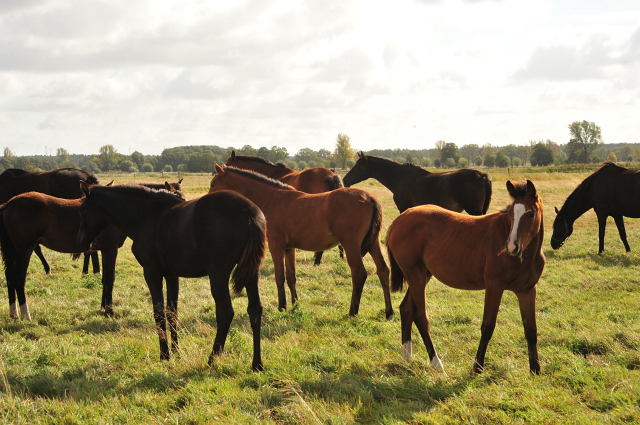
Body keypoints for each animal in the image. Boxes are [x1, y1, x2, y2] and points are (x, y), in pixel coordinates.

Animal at [78, 182, 268, 368]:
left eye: (82, 209)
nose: (82, 242)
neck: (146, 215)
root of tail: (249, 211)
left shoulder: (152, 273)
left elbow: (158, 312)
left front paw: (165, 355)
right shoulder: (171, 275)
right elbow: (172, 312)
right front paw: (176, 350)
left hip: (218, 274)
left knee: (225, 312)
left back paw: (212, 359)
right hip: (251, 273)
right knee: (254, 309)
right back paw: (256, 364)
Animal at [210, 164, 392, 320]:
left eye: (213, 184)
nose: (208, 200)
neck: (272, 198)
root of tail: (369, 198)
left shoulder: (275, 245)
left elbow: (279, 276)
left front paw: (282, 307)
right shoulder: (289, 248)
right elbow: (291, 276)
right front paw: (295, 304)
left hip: (351, 244)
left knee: (359, 273)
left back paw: (352, 311)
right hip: (374, 243)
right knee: (383, 270)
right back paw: (389, 312)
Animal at [384, 181, 544, 372]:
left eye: (531, 214)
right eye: (511, 213)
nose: (512, 247)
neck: (526, 256)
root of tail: (398, 221)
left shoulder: (527, 291)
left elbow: (531, 330)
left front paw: (535, 369)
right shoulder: (494, 287)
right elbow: (488, 326)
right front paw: (477, 366)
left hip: (422, 275)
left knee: (406, 308)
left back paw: (407, 355)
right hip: (415, 276)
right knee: (421, 317)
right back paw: (436, 362)